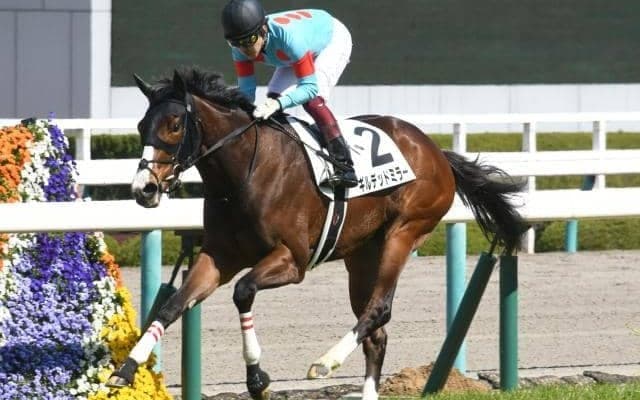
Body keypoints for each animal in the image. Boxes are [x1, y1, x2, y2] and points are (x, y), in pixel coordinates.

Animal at [107, 66, 526, 400]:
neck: (244, 172)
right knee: (376, 333)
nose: (143, 189)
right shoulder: (219, 257)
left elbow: (243, 291)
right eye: (142, 126)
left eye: (175, 125)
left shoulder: (293, 260)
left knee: (379, 309)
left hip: (404, 232)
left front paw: (257, 378)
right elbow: (172, 305)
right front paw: (124, 370)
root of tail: (436, 151)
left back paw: (326, 362)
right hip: (362, 256)